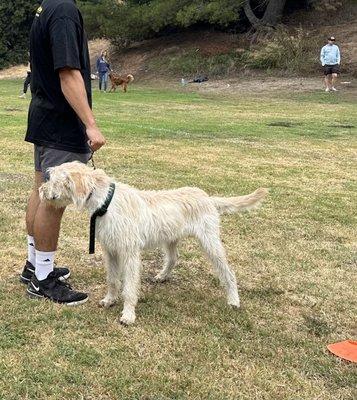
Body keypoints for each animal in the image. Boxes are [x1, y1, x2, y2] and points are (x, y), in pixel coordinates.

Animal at [39, 162, 268, 324]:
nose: (41, 190)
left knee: (228, 271)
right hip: (171, 240)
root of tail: (208, 198)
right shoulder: (111, 251)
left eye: (52, 178)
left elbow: (129, 287)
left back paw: (233, 300)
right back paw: (162, 276)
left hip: (210, 243)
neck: (106, 201)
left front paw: (128, 315)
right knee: (174, 258)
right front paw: (109, 300)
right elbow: (112, 280)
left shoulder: (129, 253)